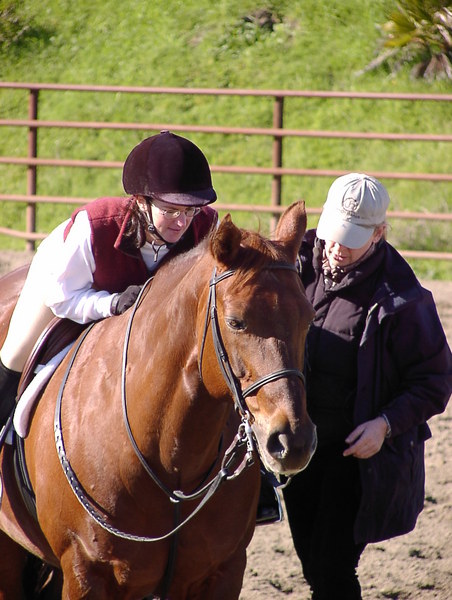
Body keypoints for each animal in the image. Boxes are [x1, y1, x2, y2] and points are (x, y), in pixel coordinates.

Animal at [0, 201, 316, 599]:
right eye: (236, 322)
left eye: (308, 319)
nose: (292, 441)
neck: (171, 460)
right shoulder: (85, 572)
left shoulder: (222, 571)